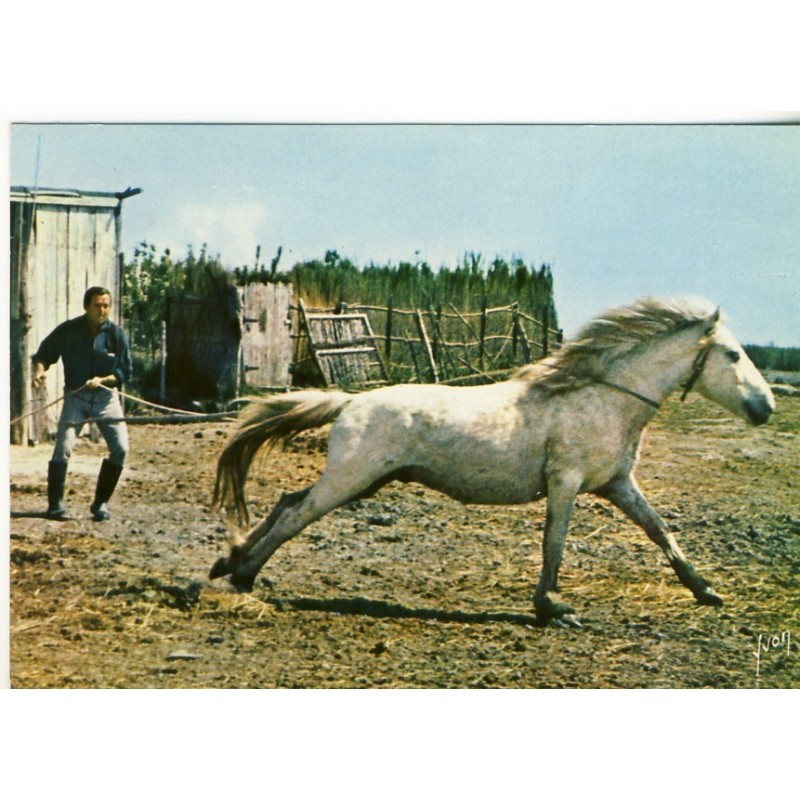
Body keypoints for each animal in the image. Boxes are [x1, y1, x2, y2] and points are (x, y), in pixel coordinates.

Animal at [209, 297, 775, 626]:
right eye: (732, 355)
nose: (765, 407)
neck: (600, 398)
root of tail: (351, 401)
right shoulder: (567, 483)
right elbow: (554, 544)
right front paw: (552, 608)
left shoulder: (616, 482)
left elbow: (660, 531)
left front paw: (707, 591)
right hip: (351, 479)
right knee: (294, 515)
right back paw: (242, 575)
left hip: (364, 480)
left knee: (288, 501)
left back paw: (229, 561)